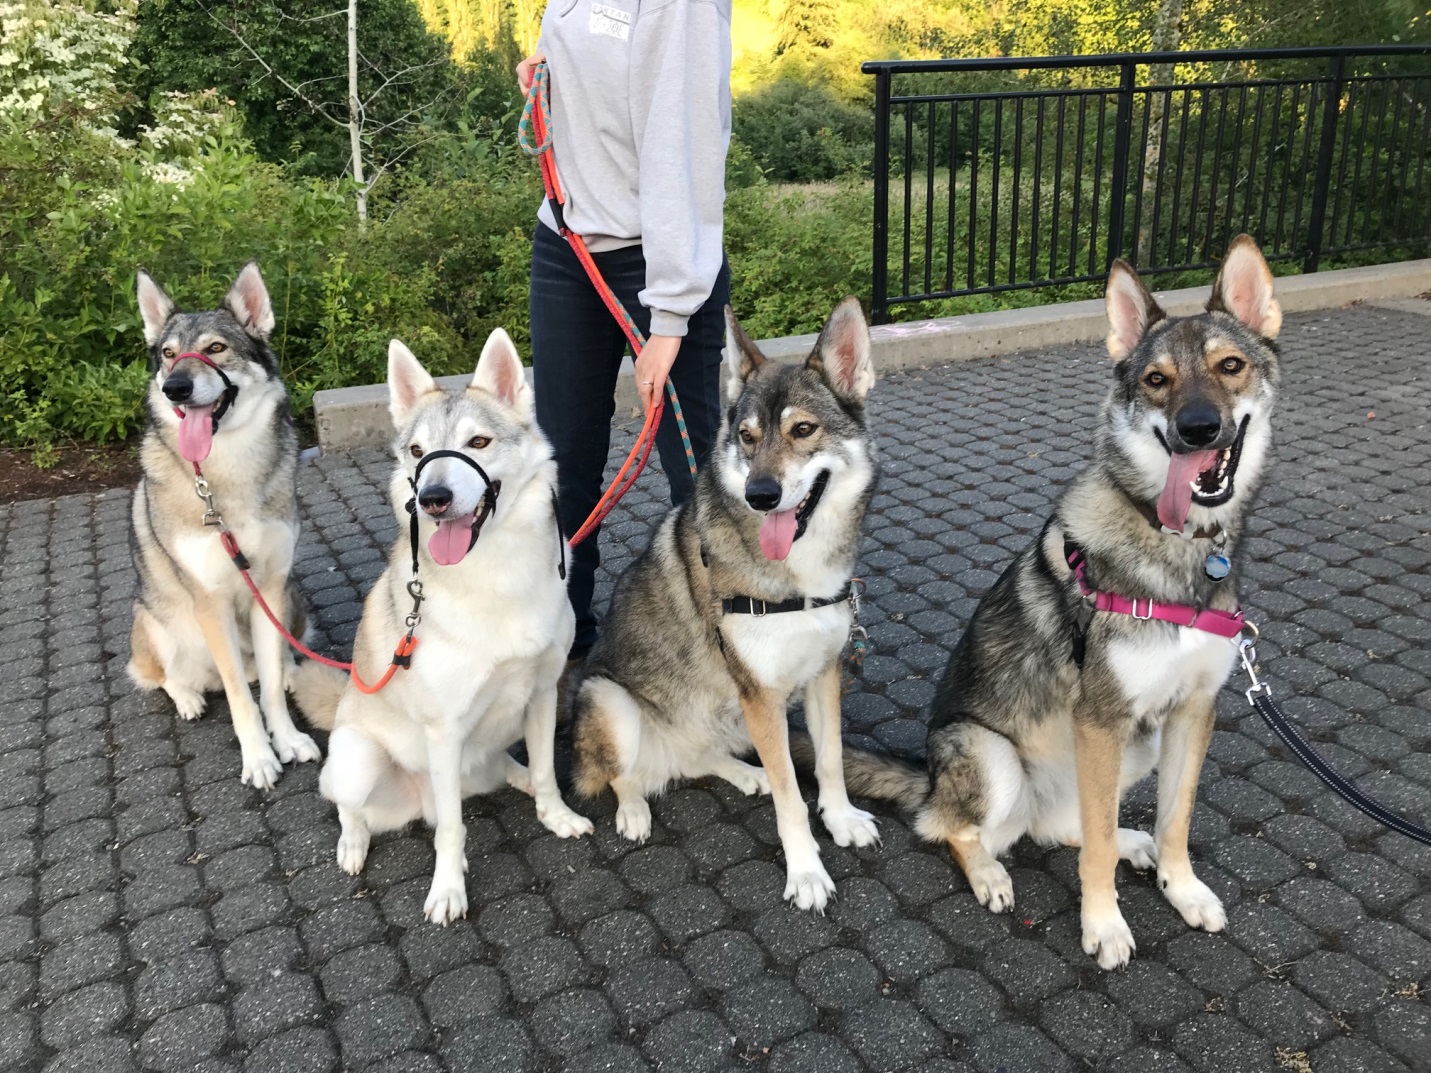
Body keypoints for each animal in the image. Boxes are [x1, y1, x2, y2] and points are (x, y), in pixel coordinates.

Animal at [126, 267, 319, 789]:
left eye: (215, 348)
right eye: (168, 354)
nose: (175, 387)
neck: (225, 473)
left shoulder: (270, 586)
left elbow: (267, 690)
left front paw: (287, 739)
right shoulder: (209, 603)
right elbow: (239, 699)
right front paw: (258, 758)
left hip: (293, 600)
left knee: (277, 661)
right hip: (152, 618)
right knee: (166, 676)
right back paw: (190, 697)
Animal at [296, 334, 592, 927]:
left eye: (478, 442)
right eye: (417, 452)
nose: (432, 498)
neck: (496, 575)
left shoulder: (543, 693)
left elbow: (547, 770)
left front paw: (555, 814)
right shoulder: (445, 730)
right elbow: (453, 832)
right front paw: (449, 890)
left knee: (509, 767)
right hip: (361, 761)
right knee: (352, 808)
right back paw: (353, 844)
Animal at [572, 300, 881, 915]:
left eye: (802, 429)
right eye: (747, 436)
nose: (762, 494)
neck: (797, 579)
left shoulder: (822, 676)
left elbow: (830, 761)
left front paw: (841, 819)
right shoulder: (761, 693)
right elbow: (790, 796)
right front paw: (806, 871)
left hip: (729, 715)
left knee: (698, 758)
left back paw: (742, 774)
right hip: (611, 701)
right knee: (622, 777)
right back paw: (634, 810)